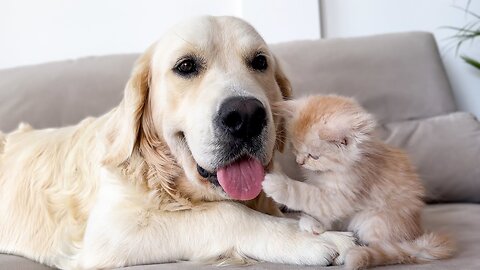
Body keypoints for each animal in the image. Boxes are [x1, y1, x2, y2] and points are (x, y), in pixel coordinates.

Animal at [0, 16, 352, 268]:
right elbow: (228, 214)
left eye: (260, 62)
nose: (246, 116)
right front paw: (316, 239)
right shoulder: (110, 232)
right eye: (186, 66)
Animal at [262, 96, 454, 268]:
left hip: (375, 220)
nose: (300, 162)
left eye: (314, 156)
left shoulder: (342, 194)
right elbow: (320, 209)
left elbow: (306, 194)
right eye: (295, 149)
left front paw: (277, 183)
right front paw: (313, 223)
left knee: (386, 250)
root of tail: (415, 234)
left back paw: (350, 255)